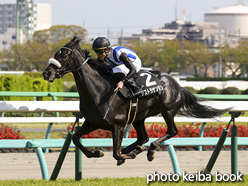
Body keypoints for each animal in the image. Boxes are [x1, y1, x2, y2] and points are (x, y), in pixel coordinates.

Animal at [42, 36, 229, 164]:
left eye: (64, 55)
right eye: (56, 53)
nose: (47, 73)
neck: (99, 91)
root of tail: (177, 85)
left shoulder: (117, 125)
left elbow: (115, 153)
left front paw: (124, 155)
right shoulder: (92, 122)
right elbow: (75, 139)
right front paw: (97, 153)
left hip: (168, 110)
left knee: (171, 131)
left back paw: (149, 150)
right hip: (139, 117)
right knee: (143, 138)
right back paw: (137, 148)